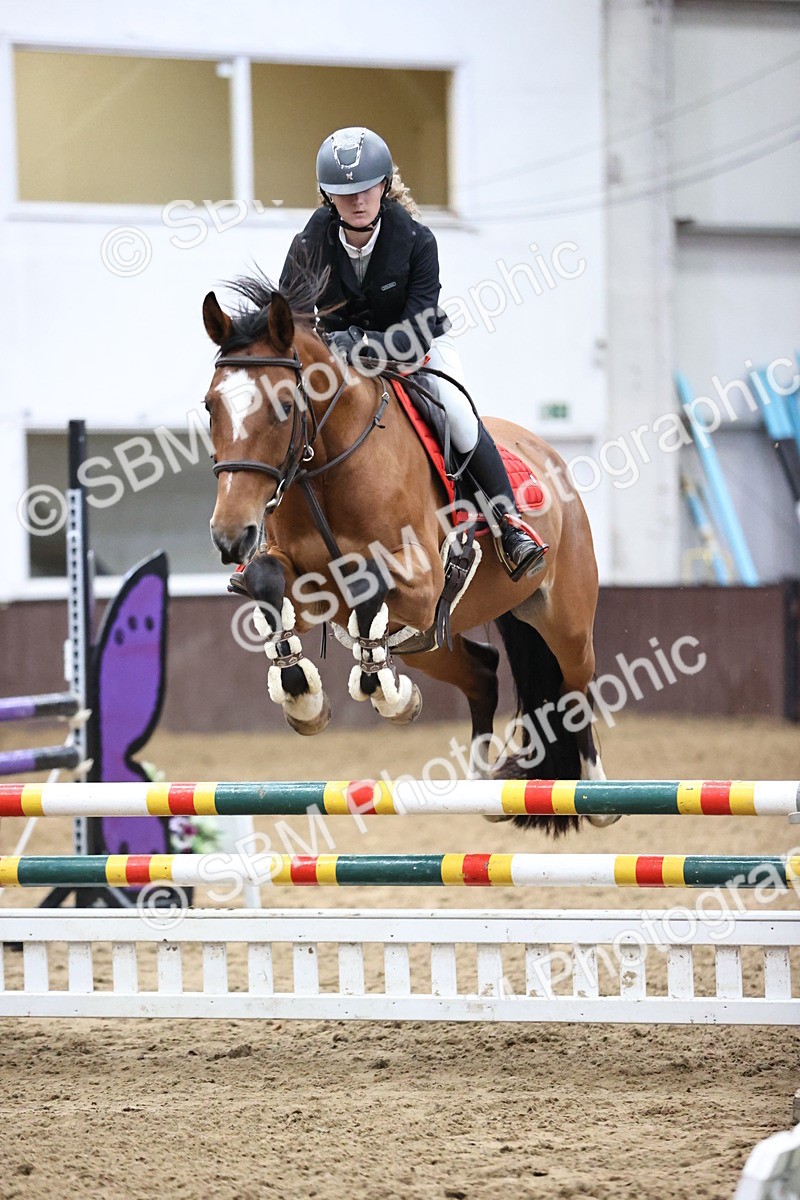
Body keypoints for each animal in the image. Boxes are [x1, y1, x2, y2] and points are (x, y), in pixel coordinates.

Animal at [202, 270, 609, 834]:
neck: (326, 467)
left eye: (284, 406)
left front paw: (387, 694)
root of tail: (547, 452)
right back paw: (481, 788)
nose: (229, 535)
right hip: (432, 644)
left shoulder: (423, 582)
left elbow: (368, 581)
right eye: (210, 407)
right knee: (483, 672)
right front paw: (305, 698)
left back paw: (596, 792)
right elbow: (268, 582)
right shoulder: (305, 584)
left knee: (574, 684)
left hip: (564, 617)